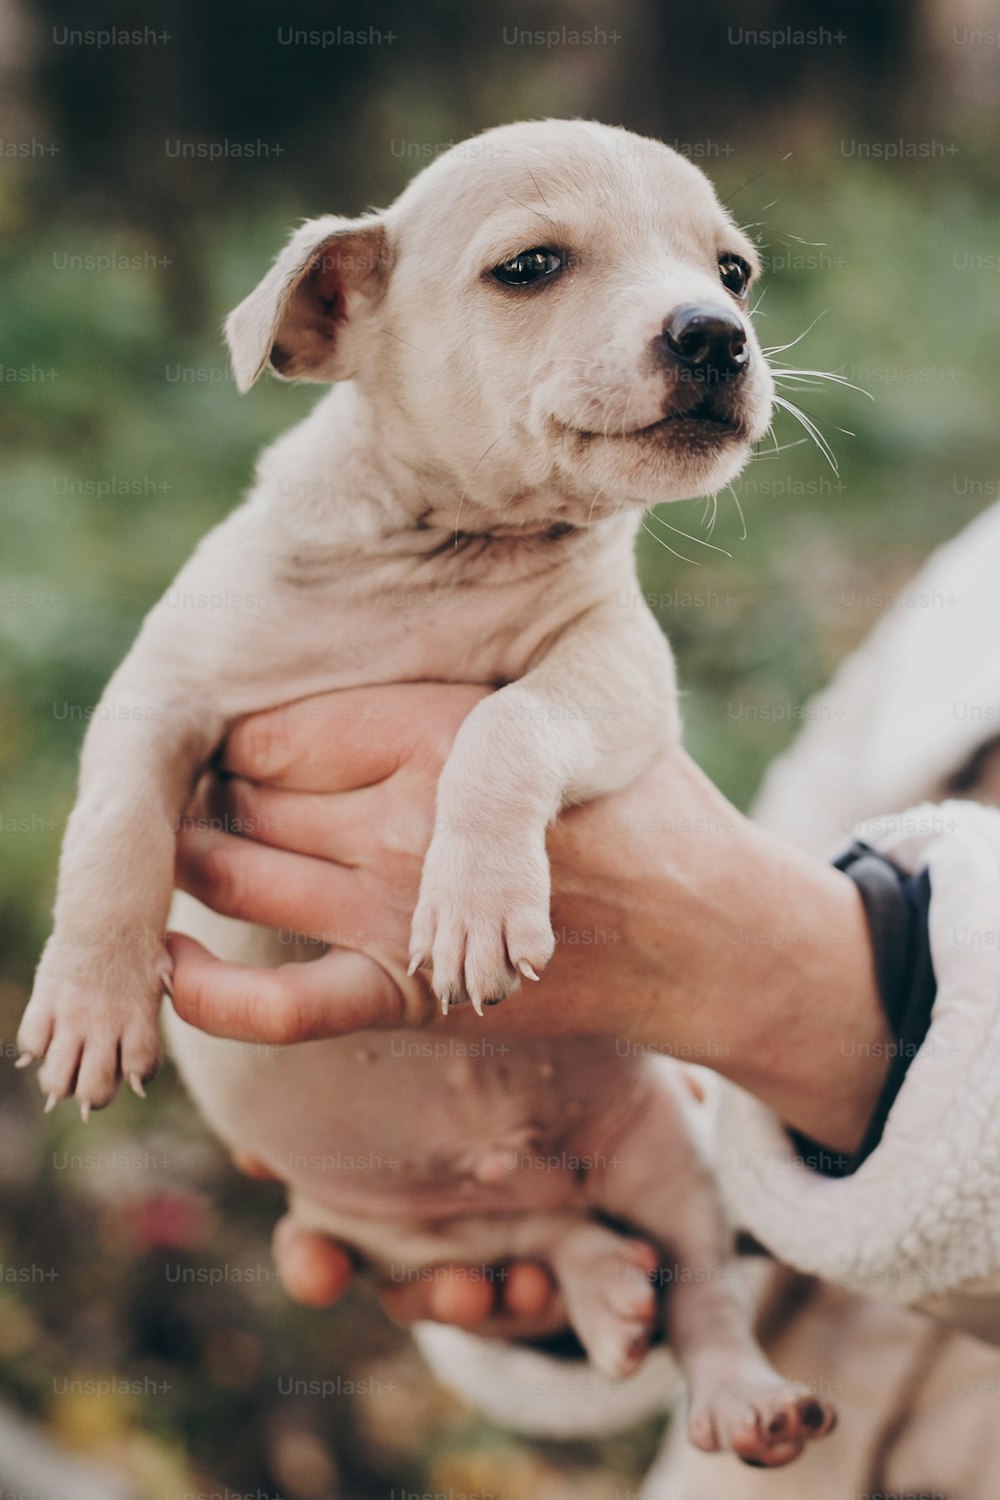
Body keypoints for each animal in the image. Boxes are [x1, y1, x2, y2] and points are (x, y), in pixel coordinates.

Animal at [23, 126, 839, 1464]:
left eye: (734, 272)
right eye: (531, 266)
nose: (717, 333)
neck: (443, 549)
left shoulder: (616, 670)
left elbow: (503, 723)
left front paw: (475, 905)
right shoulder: (158, 692)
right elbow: (114, 831)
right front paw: (93, 1001)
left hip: (667, 1153)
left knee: (701, 1287)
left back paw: (742, 1394)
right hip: (384, 1227)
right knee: (530, 1242)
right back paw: (600, 1287)